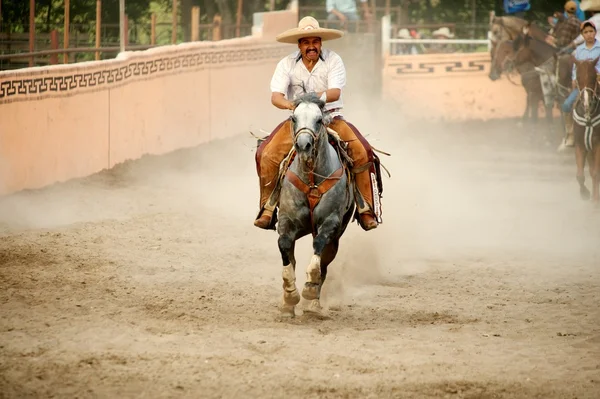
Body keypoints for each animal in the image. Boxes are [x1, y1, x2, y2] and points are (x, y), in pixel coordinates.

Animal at [278, 93, 356, 318]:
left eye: (319, 120)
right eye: (294, 118)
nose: (303, 145)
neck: (312, 177)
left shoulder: (330, 222)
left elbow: (319, 248)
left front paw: (310, 289)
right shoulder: (286, 220)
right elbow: (284, 248)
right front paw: (289, 297)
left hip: (337, 235)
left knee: (325, 261)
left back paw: (314, 306)